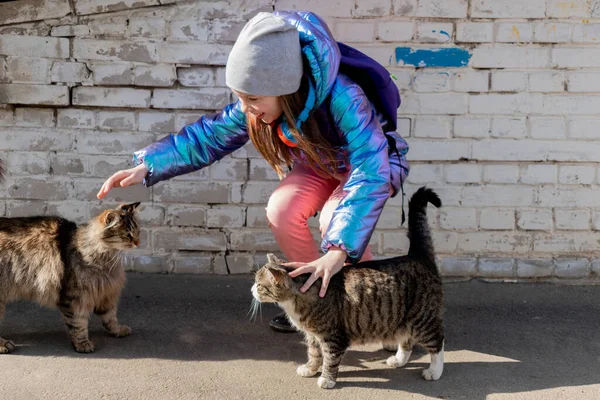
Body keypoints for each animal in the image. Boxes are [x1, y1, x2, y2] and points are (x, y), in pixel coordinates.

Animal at [0, 203, 142, 354]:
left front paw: (118, 330)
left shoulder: (105, 292)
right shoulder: (74, 297)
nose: (138, 242)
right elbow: (78, 324)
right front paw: (82, 343)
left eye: (138, 231)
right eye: (128, 235)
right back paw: (4, 345)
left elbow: (110, 318)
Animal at [251, 187, 442, 388]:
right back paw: (399, 360)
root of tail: (417, 255)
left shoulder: (333, 337)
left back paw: (434, 371)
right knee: (407, 340)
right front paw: (310, 369)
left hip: (423, 318)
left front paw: (326, 379)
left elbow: (330, 359)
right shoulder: (312, 336)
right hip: (405, 320)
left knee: (437, 343)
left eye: (259, 285)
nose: (252, 290)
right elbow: (314, 353)